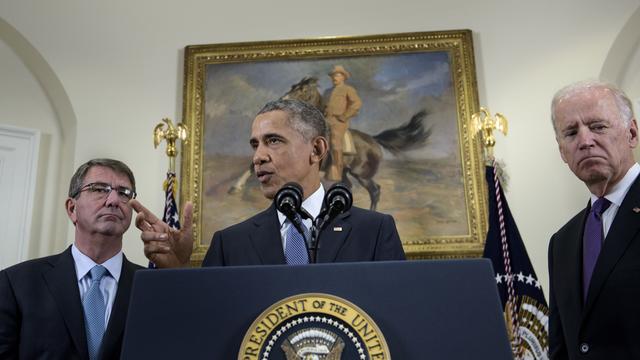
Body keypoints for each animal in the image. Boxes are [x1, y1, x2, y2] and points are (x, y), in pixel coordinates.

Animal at [228, 76, 432, 211]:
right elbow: (252, 165)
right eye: (293, 86)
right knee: (350, 187)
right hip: (345, 173)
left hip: (362, 175)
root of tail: (374, 140)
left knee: (375, 191)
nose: (282, 100)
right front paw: (235, 187)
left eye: (302, 90)